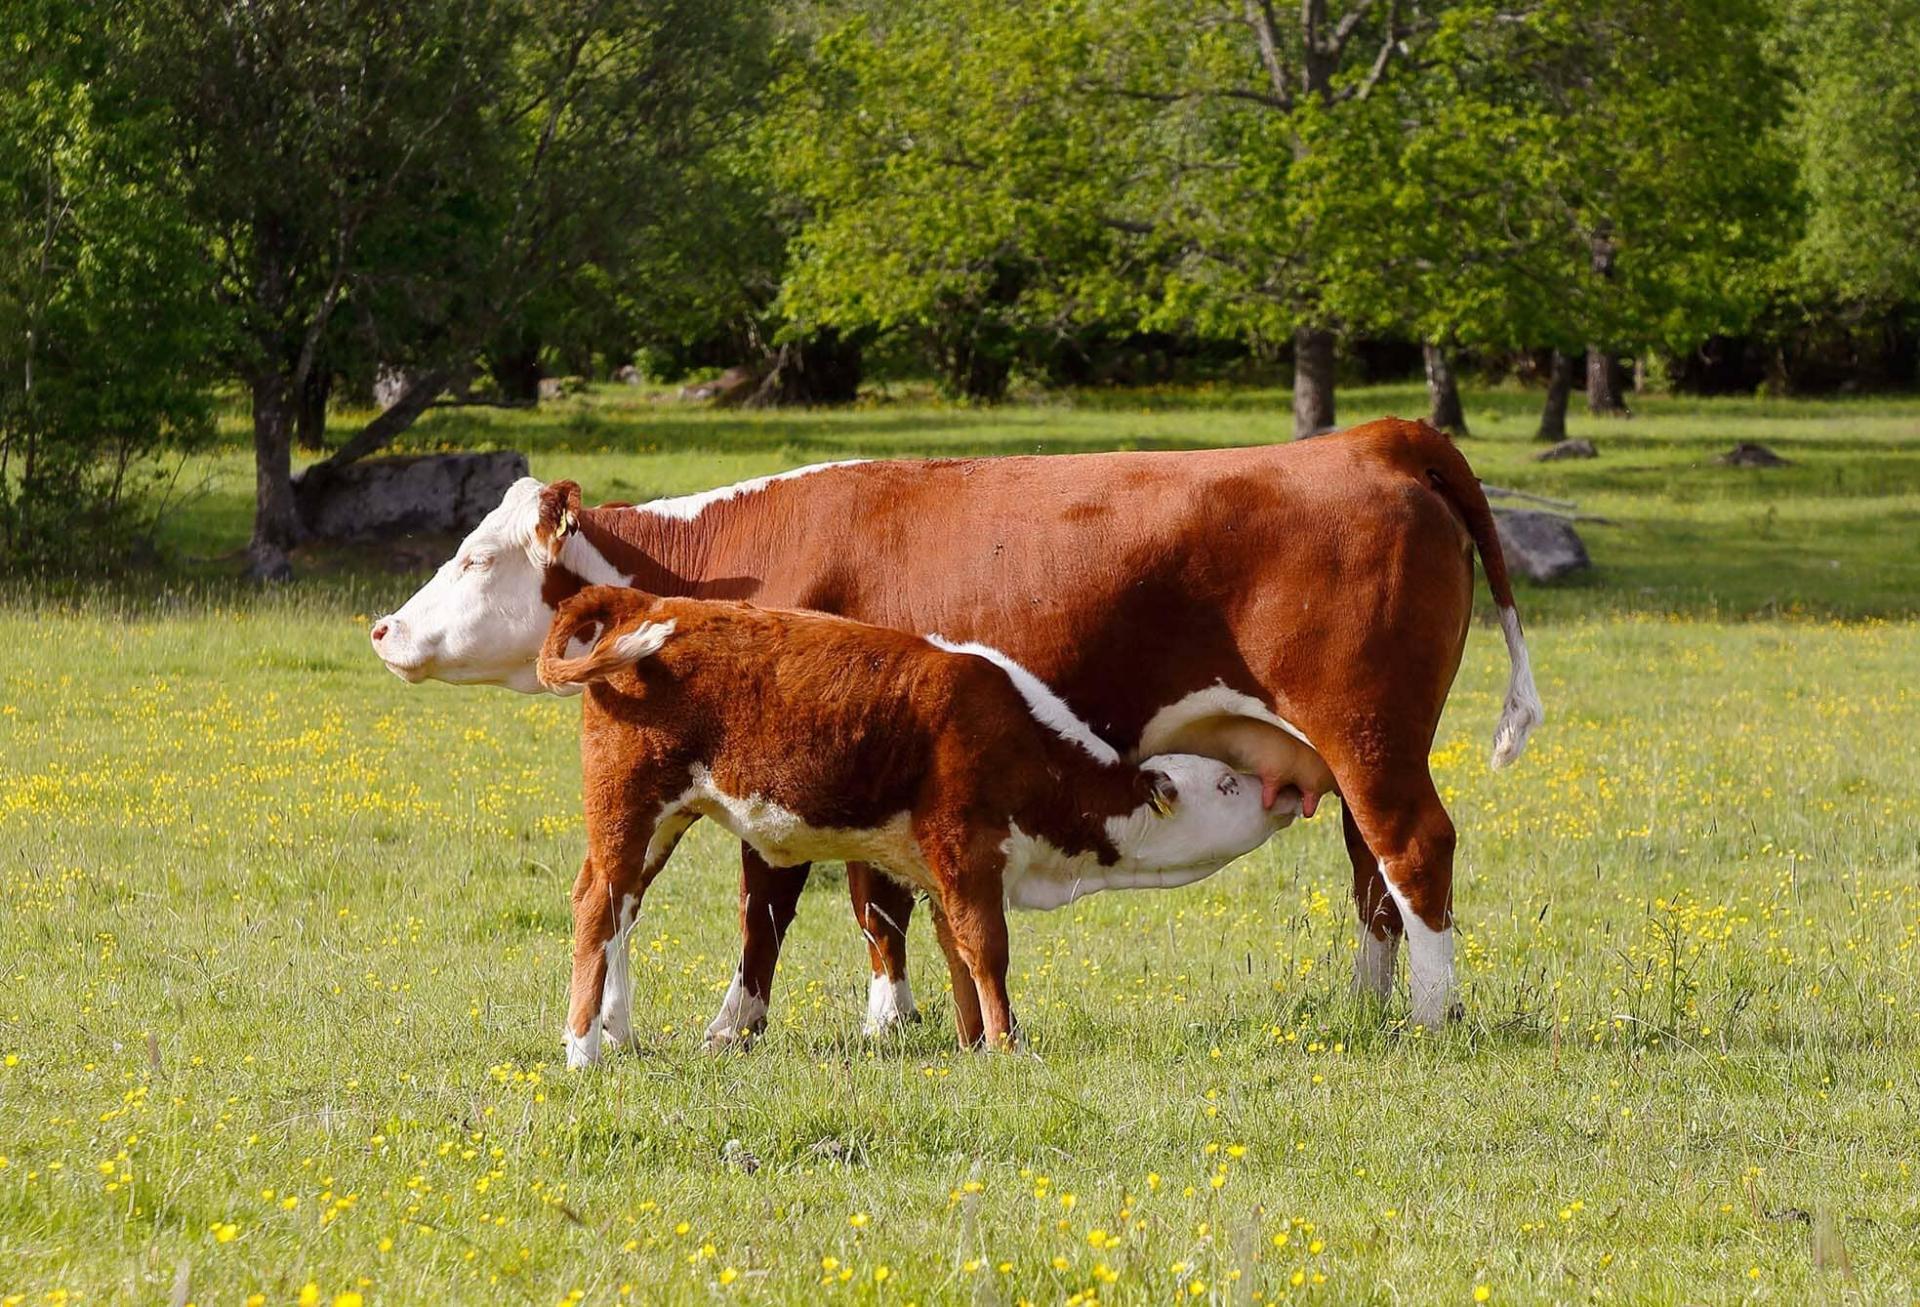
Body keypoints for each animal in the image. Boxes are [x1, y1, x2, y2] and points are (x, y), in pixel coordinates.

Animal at [535, 584, 1302, 1066]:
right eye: (1226, 783)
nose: (1286, 791)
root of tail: (651, 603)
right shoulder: (969, 855)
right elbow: (988, 949)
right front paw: (1009, 1046)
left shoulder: (939, 872)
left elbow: (957, 952)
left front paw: (974, 1041)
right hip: (628, 809)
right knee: (595, 907)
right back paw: (584, 1050)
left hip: (659, 823)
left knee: (622, 911)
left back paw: (620, 1035)